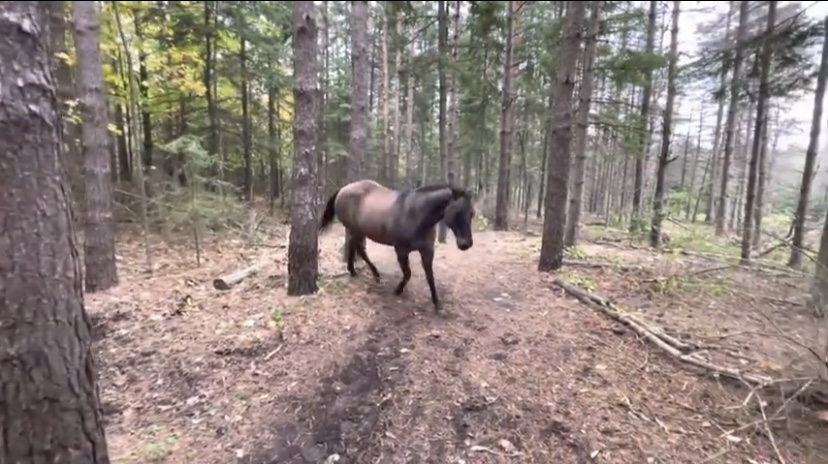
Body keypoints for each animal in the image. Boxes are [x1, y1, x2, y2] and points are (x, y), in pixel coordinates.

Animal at [319, 179, 475, 311]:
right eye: (456, 212)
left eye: (472, 213)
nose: (466, 244)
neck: (417, 215)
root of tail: (343, 189)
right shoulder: (401, 250)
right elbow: (408, 273)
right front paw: (398, 290)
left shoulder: (427, 250)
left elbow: (430, 275)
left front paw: (436, 301)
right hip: (354, 229)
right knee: (357, 247)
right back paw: (366, 272)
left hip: (359, 231)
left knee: (355, 247)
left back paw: (358, 271)